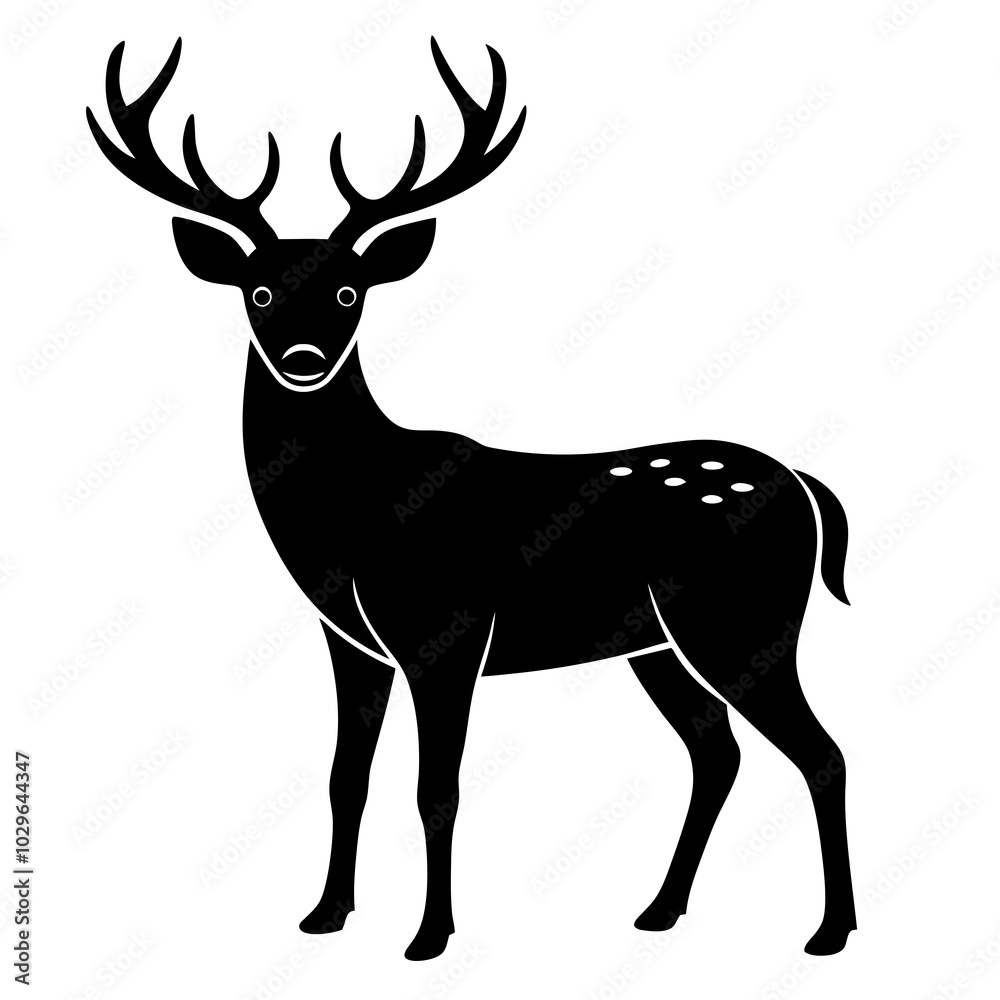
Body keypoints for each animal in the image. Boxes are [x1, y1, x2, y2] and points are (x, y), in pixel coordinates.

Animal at [87, 36, 857, 962]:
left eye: (349, 290)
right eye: (259, 290)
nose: (305, 359)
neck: (353, 516)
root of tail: (808, 488)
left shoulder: (446, 629)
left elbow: (437, 788)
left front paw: (429, 937)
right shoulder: (350, 639)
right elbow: (347, 777)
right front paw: (324, 915)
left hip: (743, 621)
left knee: (821, 752)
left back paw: (830, 933)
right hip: (660, 645)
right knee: (719, 754)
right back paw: (659, 910)